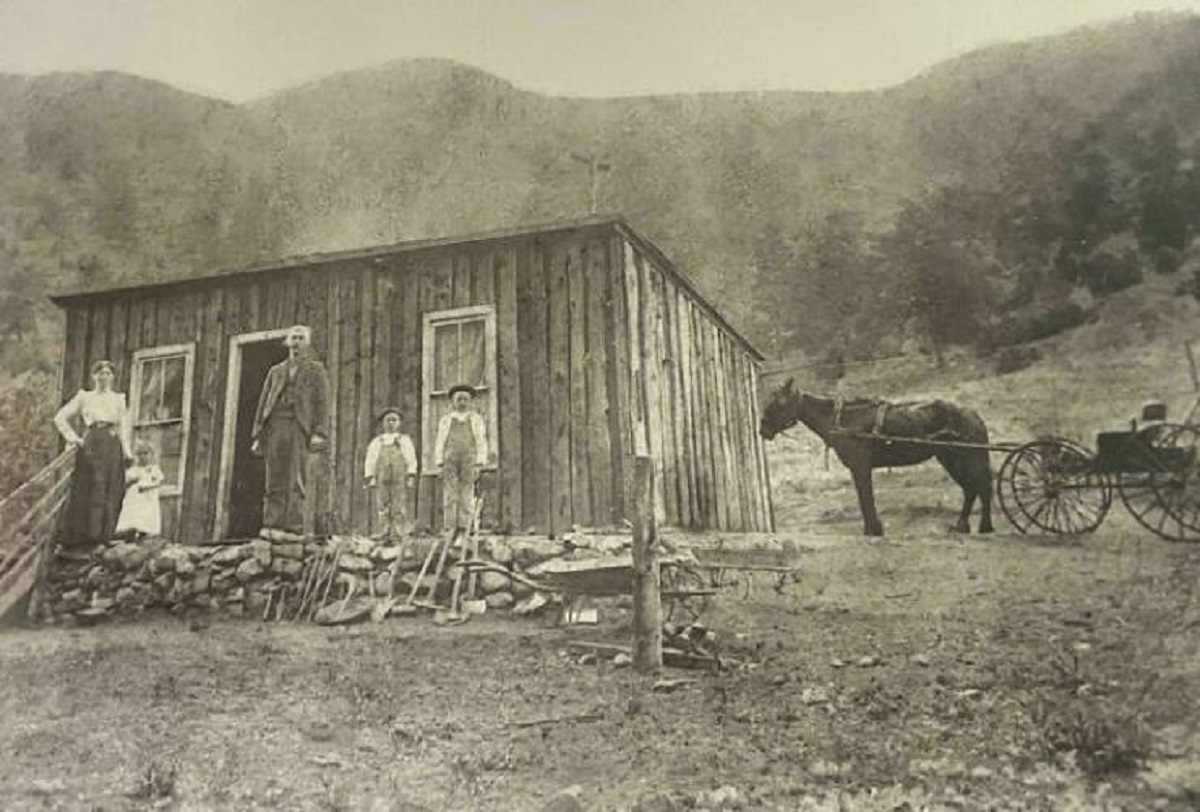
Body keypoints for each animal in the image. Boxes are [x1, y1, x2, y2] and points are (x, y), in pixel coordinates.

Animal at [758, 376, 993, 534]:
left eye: (779, 402)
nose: (763, 430)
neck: (843, 419)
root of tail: (973, 414)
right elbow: (865, 498)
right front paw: (873, 529)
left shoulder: (860, 466)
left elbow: (866, 497)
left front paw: (873, 530)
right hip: (951, 460)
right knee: (971, 490)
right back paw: (962, 526)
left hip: (967, 459)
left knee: (981, 488)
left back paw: (984, 527)